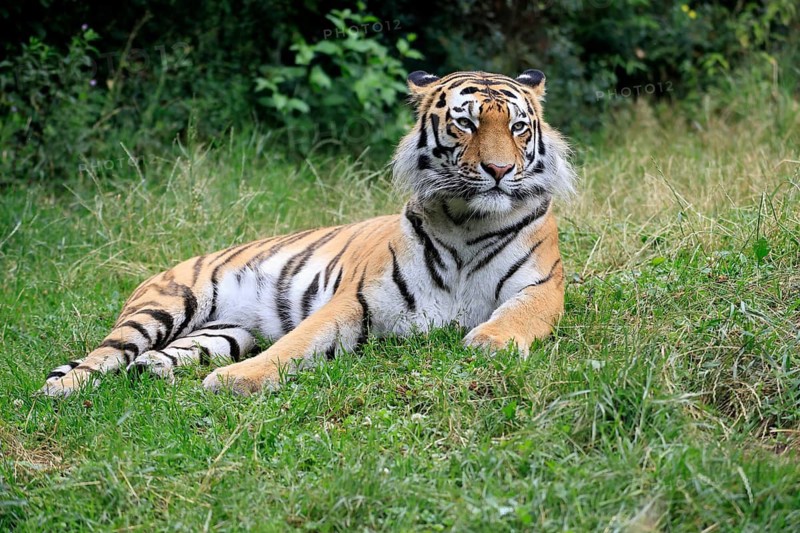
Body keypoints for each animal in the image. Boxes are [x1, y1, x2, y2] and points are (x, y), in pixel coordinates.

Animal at [41, 69, 576, 397]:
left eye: (519, 128)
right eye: (466, 124)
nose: (499, 170)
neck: (469, 220)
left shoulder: (542, 287)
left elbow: (519, 316)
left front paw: (489, 342)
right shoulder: (358, 299)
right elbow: (296, 343)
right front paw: (233, 382)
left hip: (224, 332)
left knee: (161, 353)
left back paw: (151, 368)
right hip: (164, 305)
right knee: (105, 354)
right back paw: (61, 390)